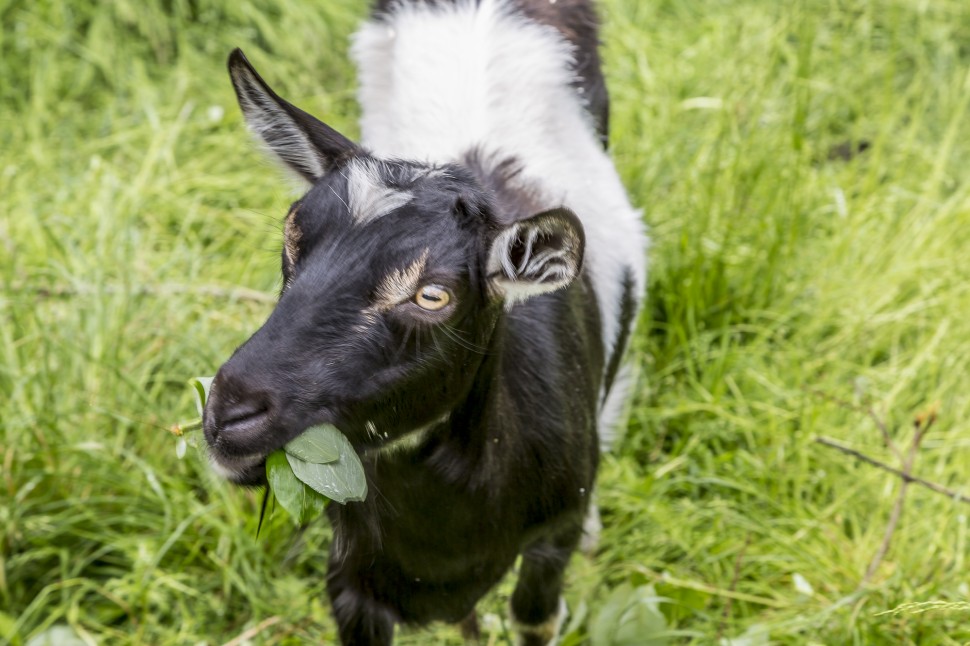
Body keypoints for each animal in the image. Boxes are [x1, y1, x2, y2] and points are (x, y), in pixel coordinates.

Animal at [200, 1, 648, 646]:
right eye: (292, 237)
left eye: (432, 294)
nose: (228, 414)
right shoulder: (353, 586)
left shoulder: (548, 547)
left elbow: (535, 616)